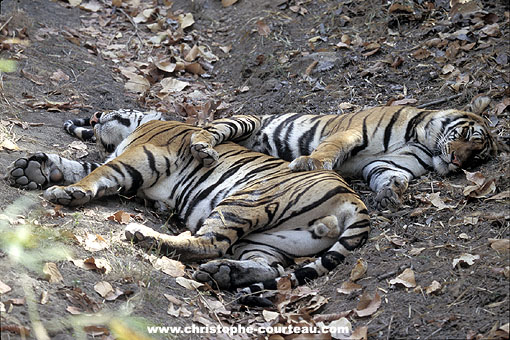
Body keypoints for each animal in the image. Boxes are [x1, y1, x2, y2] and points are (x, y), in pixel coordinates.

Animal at [3, 109, 370, 306]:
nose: (95, 117)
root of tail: (353, 198)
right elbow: (80, 165)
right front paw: (31, 170)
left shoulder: (139, 155)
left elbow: (96, 172)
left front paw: (67, 191)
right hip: (269, 240)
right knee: (270, 267)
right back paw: (225, 273)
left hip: (244, 200)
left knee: (209, 242)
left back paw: (145, 236)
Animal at [189, 106, 496, 210]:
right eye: (466, 135)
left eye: (475, 158)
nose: (457, 161)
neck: (423, 140)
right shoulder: (352, 130)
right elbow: (330, 148)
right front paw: (309, 163)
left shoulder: (387, 162)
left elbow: (387, 174)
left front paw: (390, 193)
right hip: (245, 121)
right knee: (207, 131)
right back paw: (203, 149)